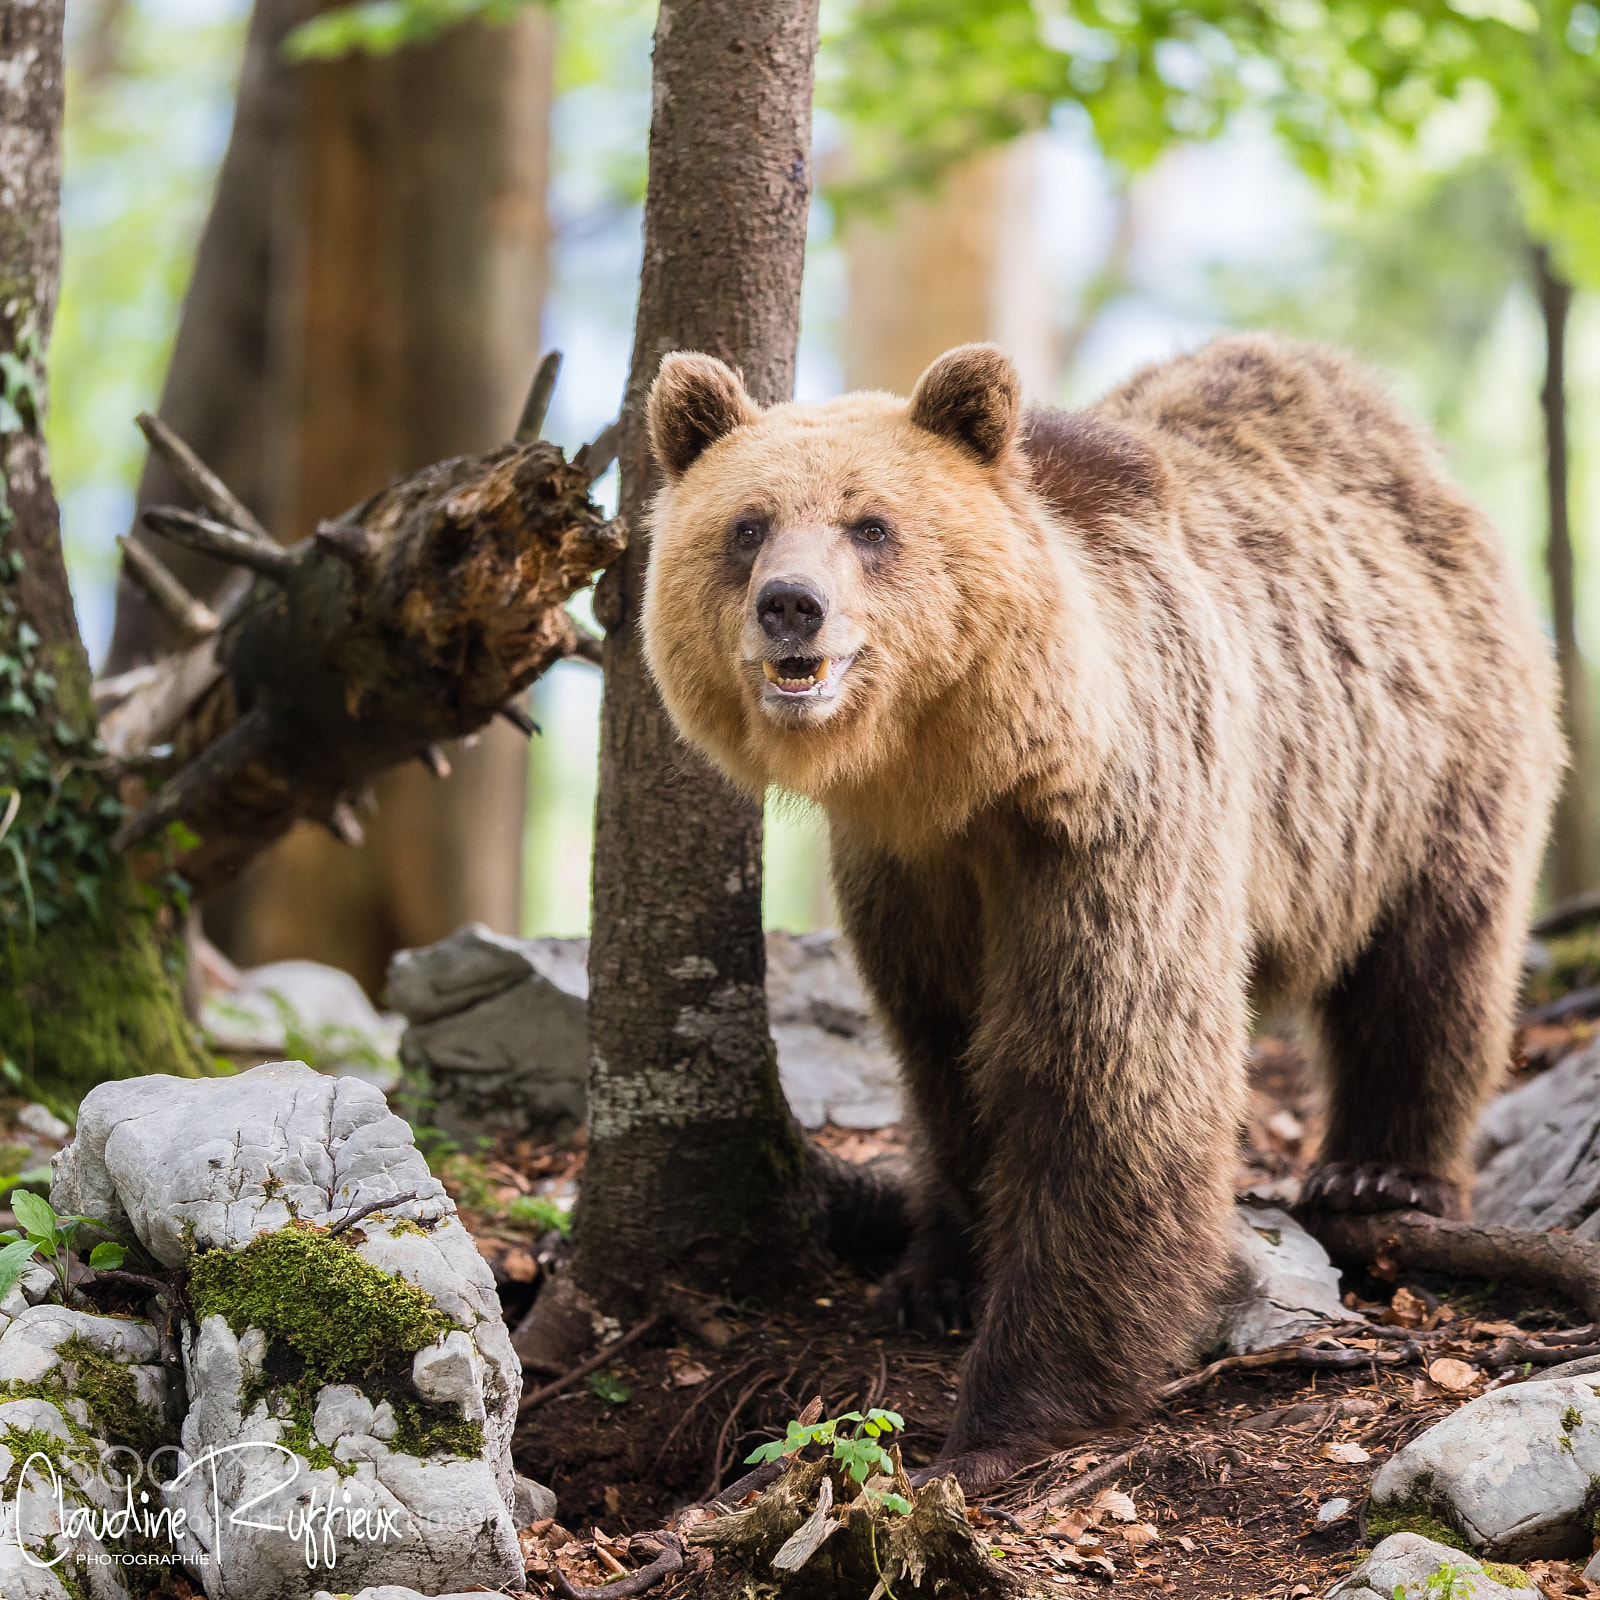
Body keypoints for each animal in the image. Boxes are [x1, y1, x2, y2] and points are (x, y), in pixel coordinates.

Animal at [639, 333, 1563, 1490]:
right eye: (748, 524)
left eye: (871, 524)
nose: (791, 605)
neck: (962, 778)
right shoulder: (911, 884)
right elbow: (942, 1059)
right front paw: (936, 1275)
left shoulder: (1114, 825)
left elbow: (1106, 1076)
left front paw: (999, 1417)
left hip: (1425, 759)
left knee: (1433, 962)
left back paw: (1378, 1173)